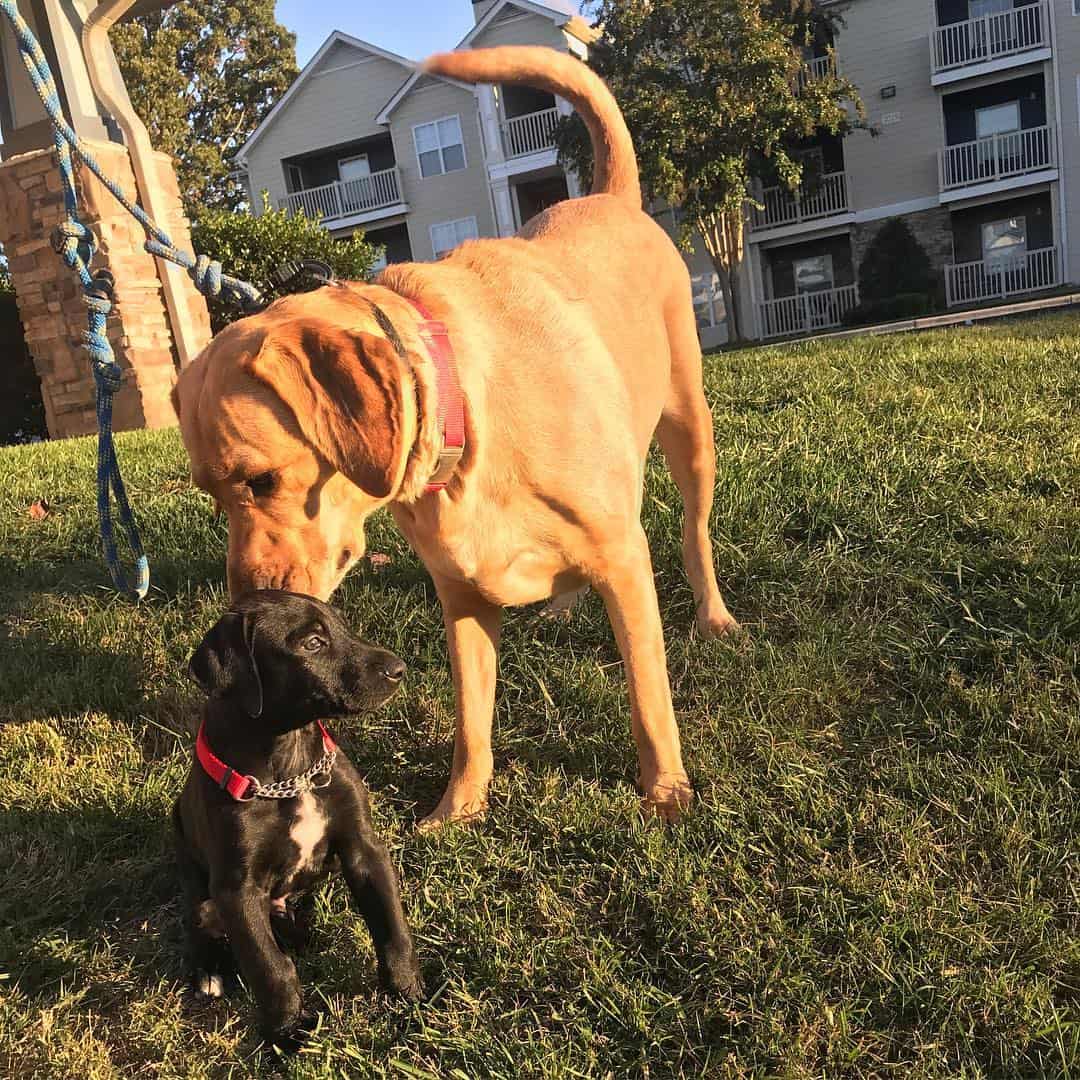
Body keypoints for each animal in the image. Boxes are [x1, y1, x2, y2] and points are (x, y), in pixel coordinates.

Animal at [172, 46, 738, 825]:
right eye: (211, 496)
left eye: (261, 481)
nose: (246, 603)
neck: (464, 422)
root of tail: (612, 197)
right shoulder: (461, 598)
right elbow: (472, 719)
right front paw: (458, 810)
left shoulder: (626, 562)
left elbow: (648, 694)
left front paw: (664, 789)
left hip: (690, 433)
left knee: (694, 532)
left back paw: (713, 614)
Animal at [174, 591, 423, 1045]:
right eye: (312, 643)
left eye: (344, 626)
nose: (399, 669)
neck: (290, 770)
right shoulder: (238, 890)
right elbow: (270, 966)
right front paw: (287, 1033)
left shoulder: (365, 850)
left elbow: (393, 928)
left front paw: (411, 995)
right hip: (201, 887)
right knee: (199, 921)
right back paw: (209, 971)